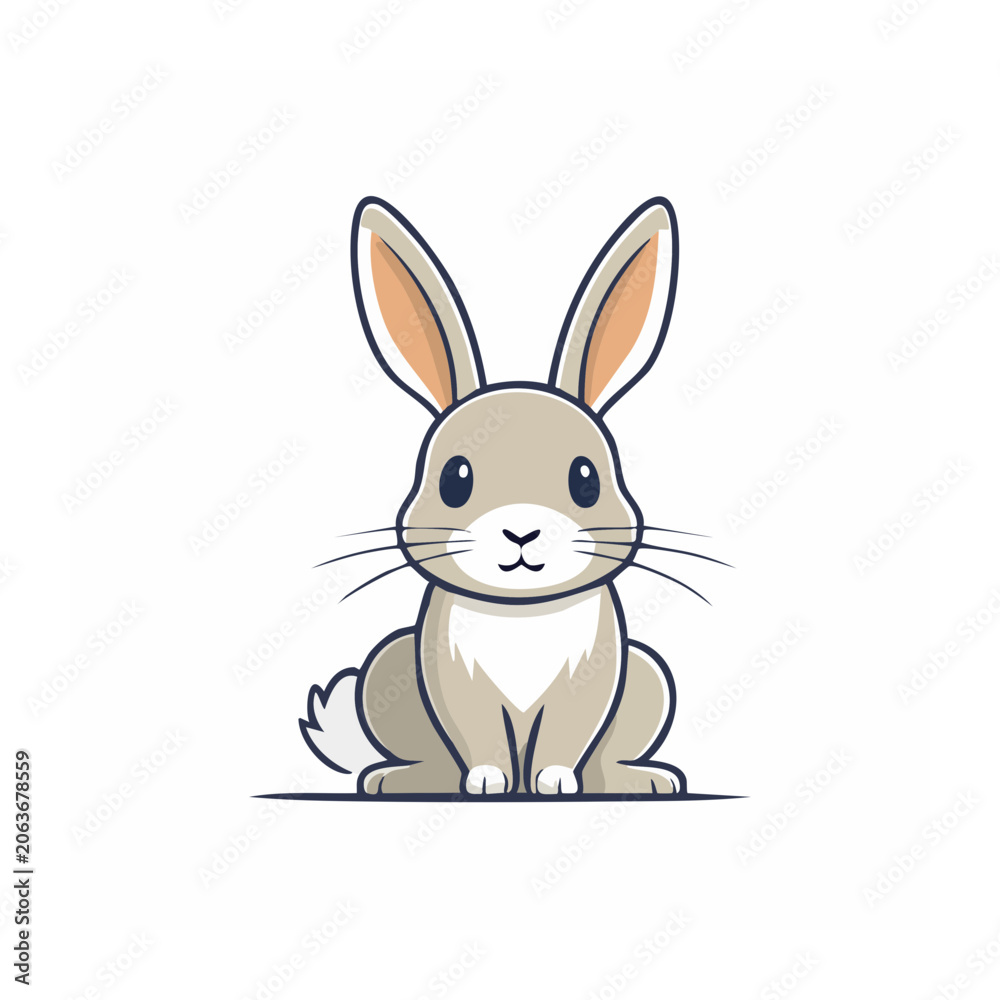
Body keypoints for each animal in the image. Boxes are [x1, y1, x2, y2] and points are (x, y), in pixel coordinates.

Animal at [301, 195, 705, 796]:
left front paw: (556, 782)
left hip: (649, 676)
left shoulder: (593, 677)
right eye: (455, 480)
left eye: (586, 480)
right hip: (384, 672)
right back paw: (400, 780)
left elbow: (567, 736)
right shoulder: (451, 681)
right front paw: (488, 782)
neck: (521, 612)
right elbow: (477, 737)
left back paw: (640, 780)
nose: (522, 532)